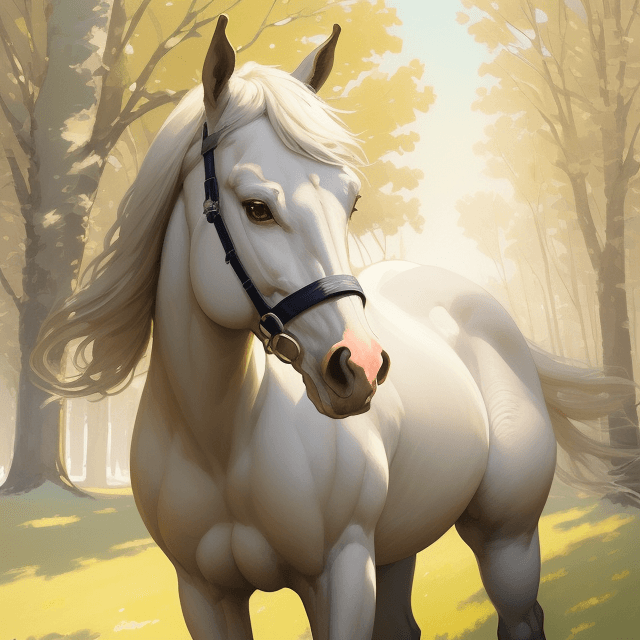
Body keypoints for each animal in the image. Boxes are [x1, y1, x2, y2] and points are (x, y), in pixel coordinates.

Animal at [32, 16, 637, 640]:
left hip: (508, 542)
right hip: (398, 548)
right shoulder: (203, 594)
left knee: (519, 610)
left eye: (352, 202)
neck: (222, 440)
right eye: (257, 208)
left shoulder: (341, 573)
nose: (360, 367)